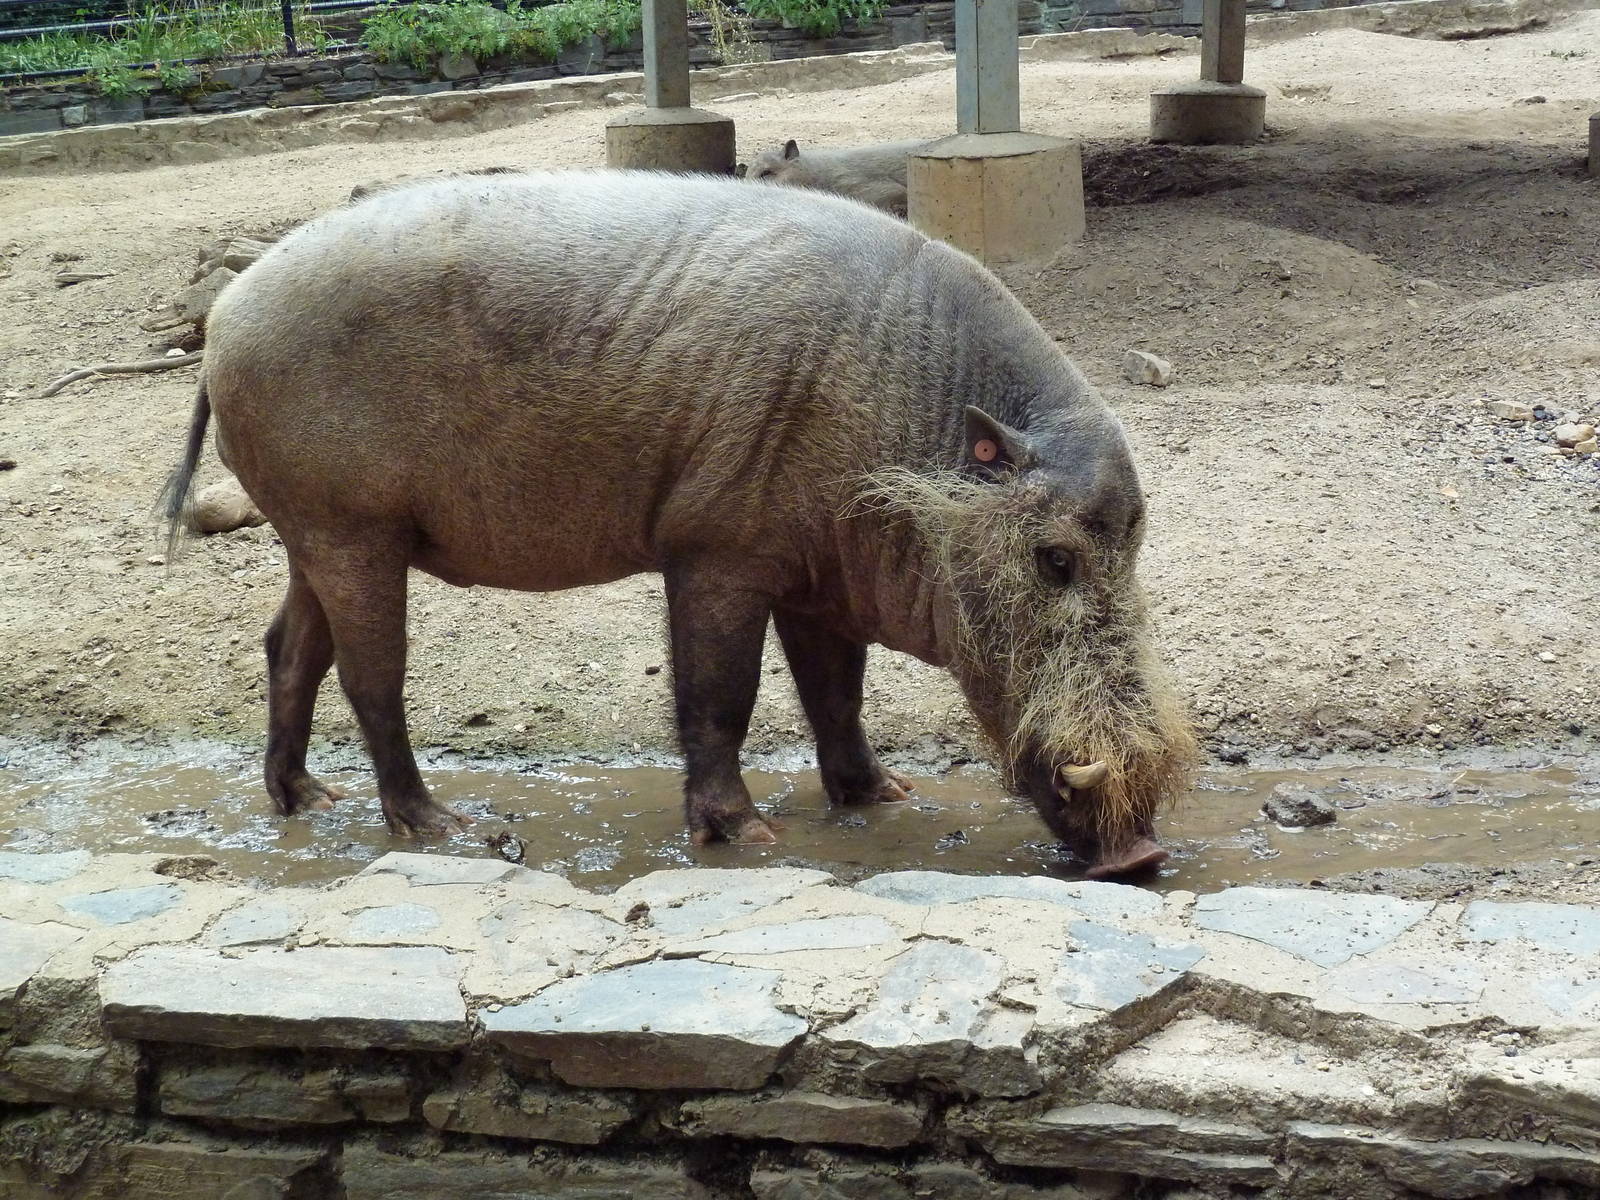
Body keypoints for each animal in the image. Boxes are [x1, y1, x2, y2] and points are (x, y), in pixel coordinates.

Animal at [161, 170, 1195, 879]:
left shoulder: (818, 579)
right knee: (371, 676)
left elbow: (837, 694)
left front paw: (884, 798)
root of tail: (222, 321)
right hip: (353, 530)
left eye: (1138, 546)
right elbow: (720, 694)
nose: (1140, 856)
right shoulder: (717, 552)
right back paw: (439, 827)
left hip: (312, 532)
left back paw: (305, 799)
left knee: (289, 647)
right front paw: (748, 835)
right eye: (1054, 558)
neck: (909, 429)